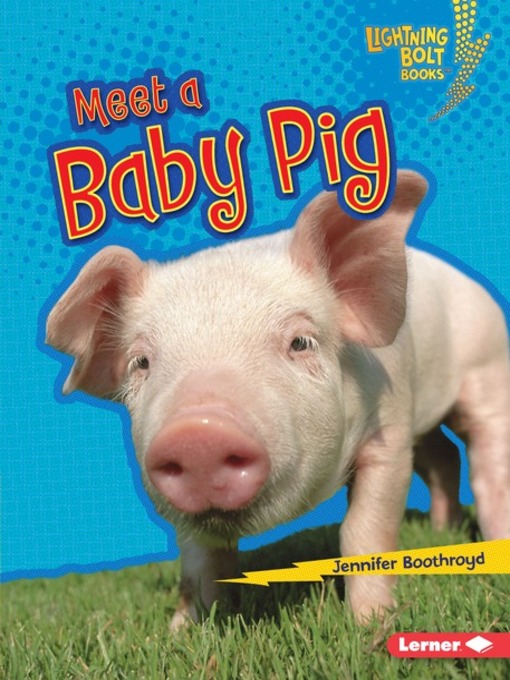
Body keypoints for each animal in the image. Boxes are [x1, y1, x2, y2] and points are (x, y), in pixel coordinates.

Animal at [46, 170, 510, 628]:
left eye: (300, 342)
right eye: (141, 362)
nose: (198, 433)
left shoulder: (390, 429)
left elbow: (364, 531)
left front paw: (371, 624)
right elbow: (199, 562)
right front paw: (182, 631)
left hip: (487, 369)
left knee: (485, 456)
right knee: (443, 456)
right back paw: (441, 533)